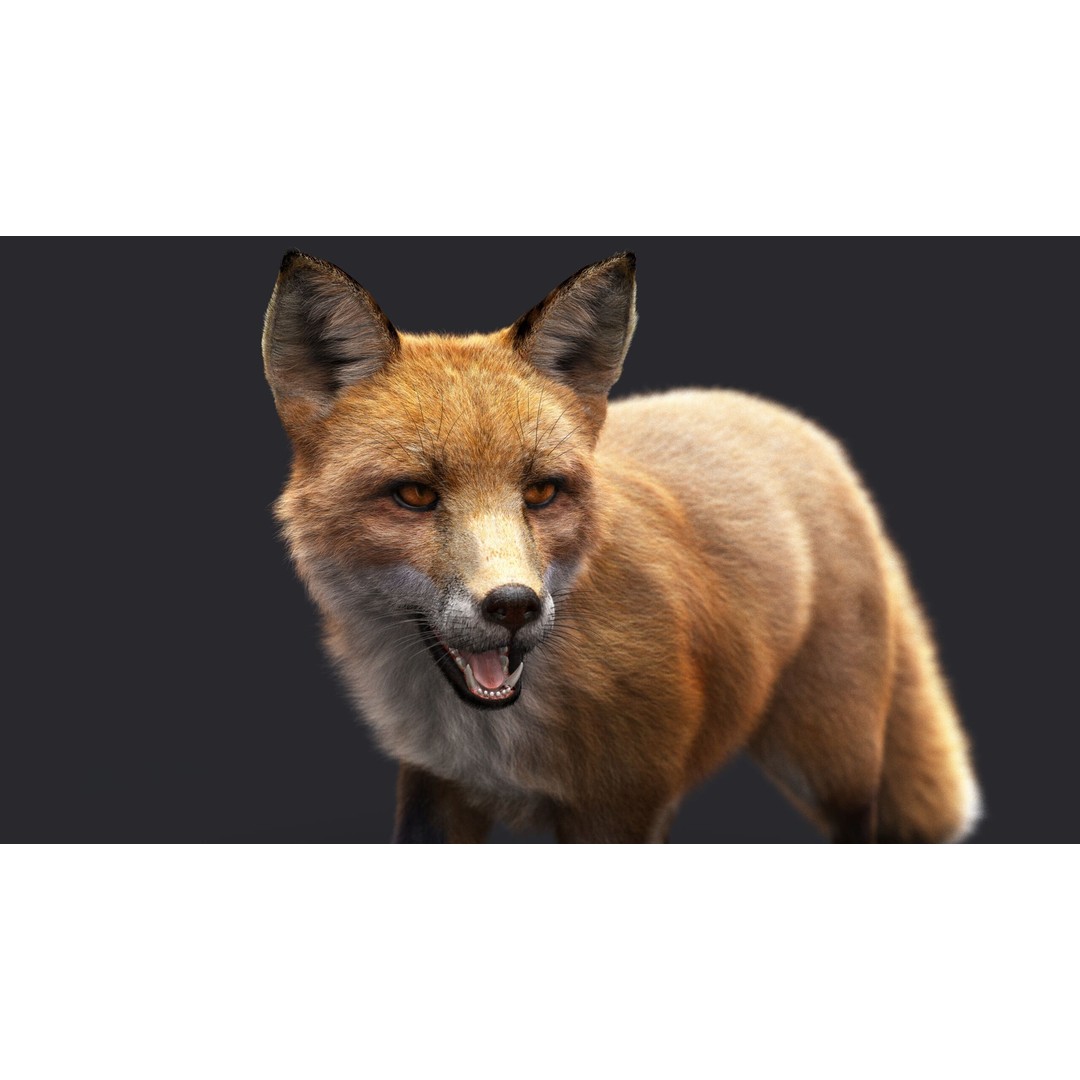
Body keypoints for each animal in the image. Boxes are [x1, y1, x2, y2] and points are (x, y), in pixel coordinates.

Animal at [262, 249, 982, 843]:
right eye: (414, 495)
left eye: (542, 492)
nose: (515, 606)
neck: (494, 739)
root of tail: (797, 425)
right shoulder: (435, 786)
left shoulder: (625, 803)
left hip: (831, 759)